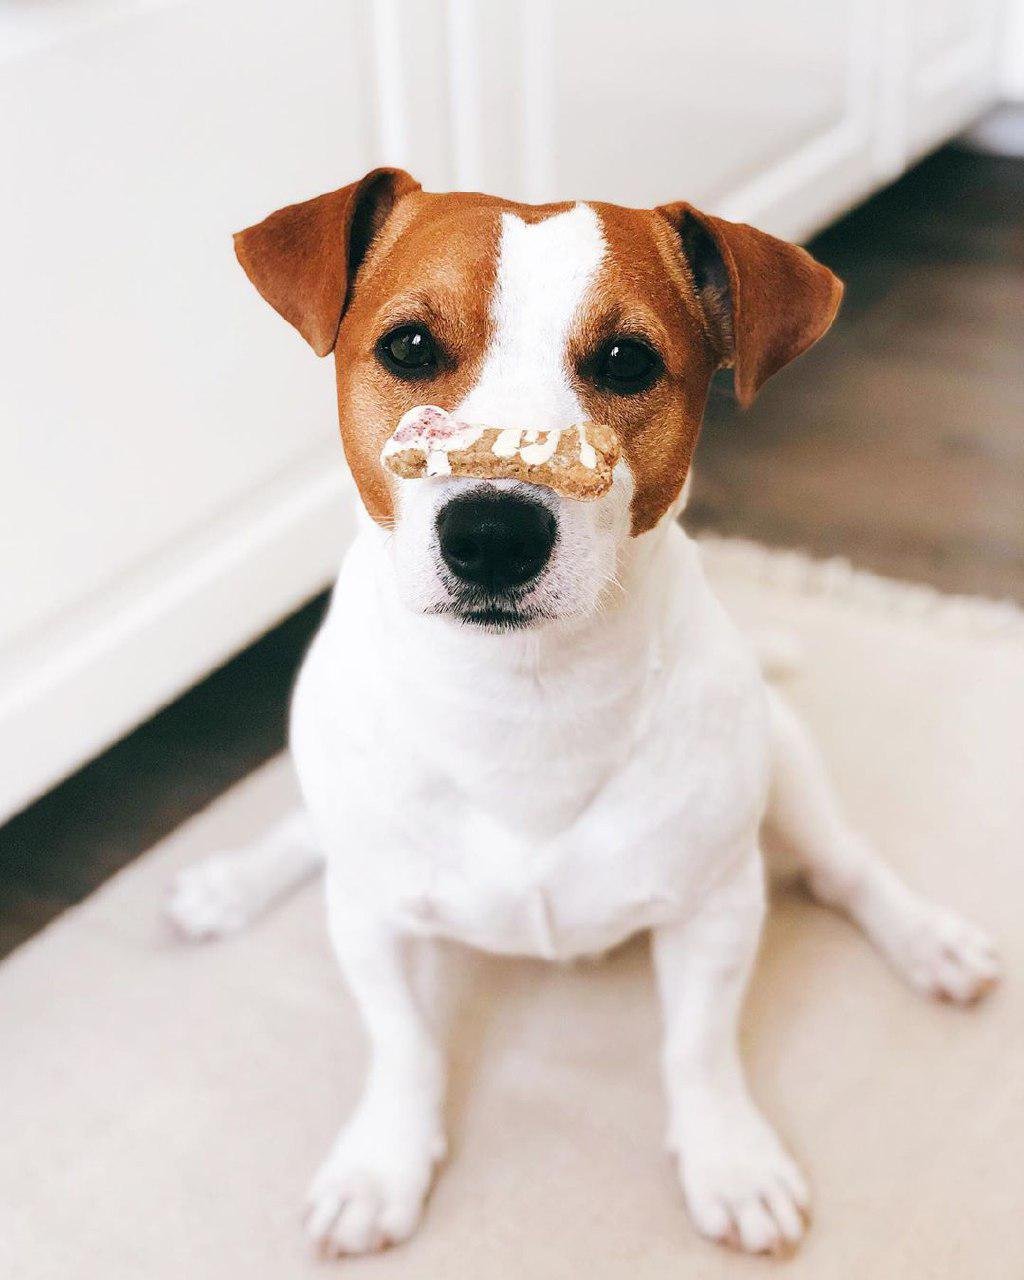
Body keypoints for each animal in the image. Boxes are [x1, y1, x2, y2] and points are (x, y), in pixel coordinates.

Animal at [167, 170, 998, 1259]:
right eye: (409, 348)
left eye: (624, 361)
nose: (492, 531)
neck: (521, 700)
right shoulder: (371, 917)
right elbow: (403, 1043)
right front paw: (383, 1161)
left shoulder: (714, 908)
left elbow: (698, 1048)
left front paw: (729, 1158)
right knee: (309, 836)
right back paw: (227, 884)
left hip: (785, 762)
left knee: (843, 864)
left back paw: (927, 938)